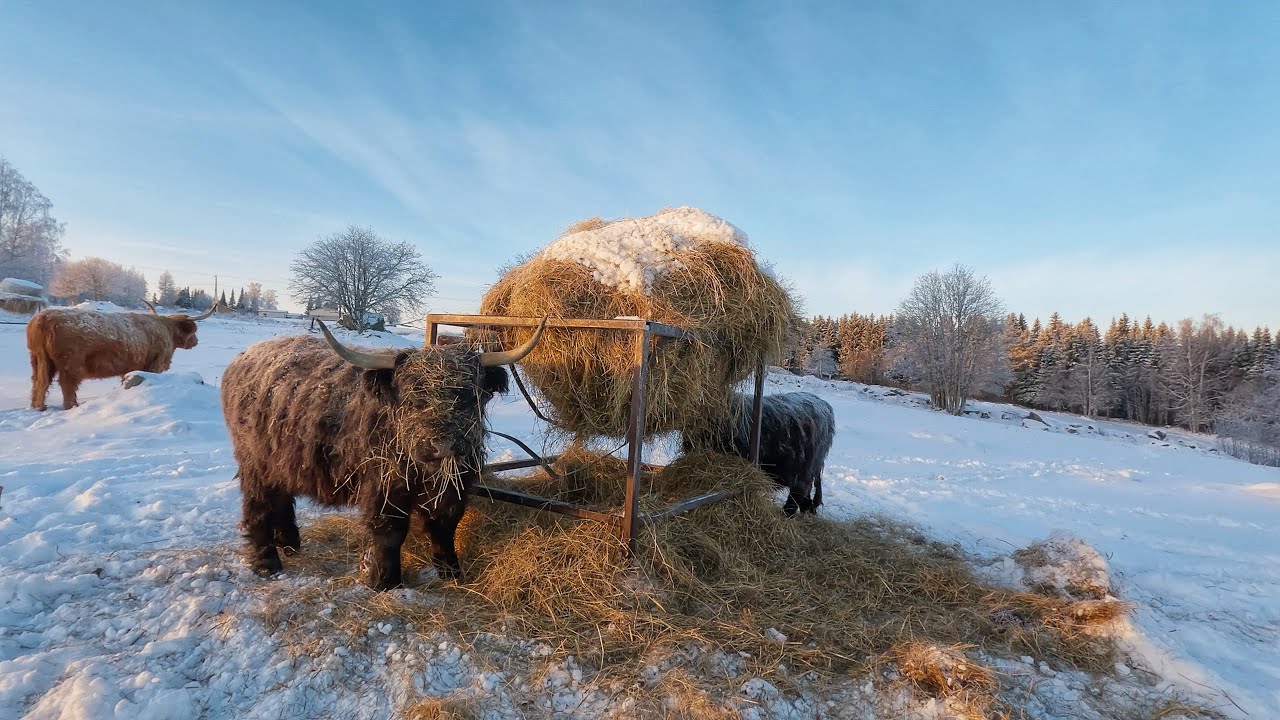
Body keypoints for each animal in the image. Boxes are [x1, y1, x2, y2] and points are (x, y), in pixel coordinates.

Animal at [26, 302, 216, 410]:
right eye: (193, 333)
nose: (196, 341)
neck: (167, 330)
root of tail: (43, 318)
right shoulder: (155, 364)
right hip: (70, 365)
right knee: (67, 386)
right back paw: (71, 407)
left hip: (38, 360)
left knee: (39, 382)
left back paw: (38, 406)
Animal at [220, 319, 546, 590]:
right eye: (414, 397)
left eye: (467, 394)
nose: (443, 446)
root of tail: (241, 358)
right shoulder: (384, 487)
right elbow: (390, 532)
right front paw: (386, 582)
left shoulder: (454, 485)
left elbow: (444, 524)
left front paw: (451, 571)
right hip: (254, 462)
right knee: (257, 506)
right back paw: (267, 563)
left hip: (282, 461)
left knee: (281, 498)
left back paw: (289, 542)